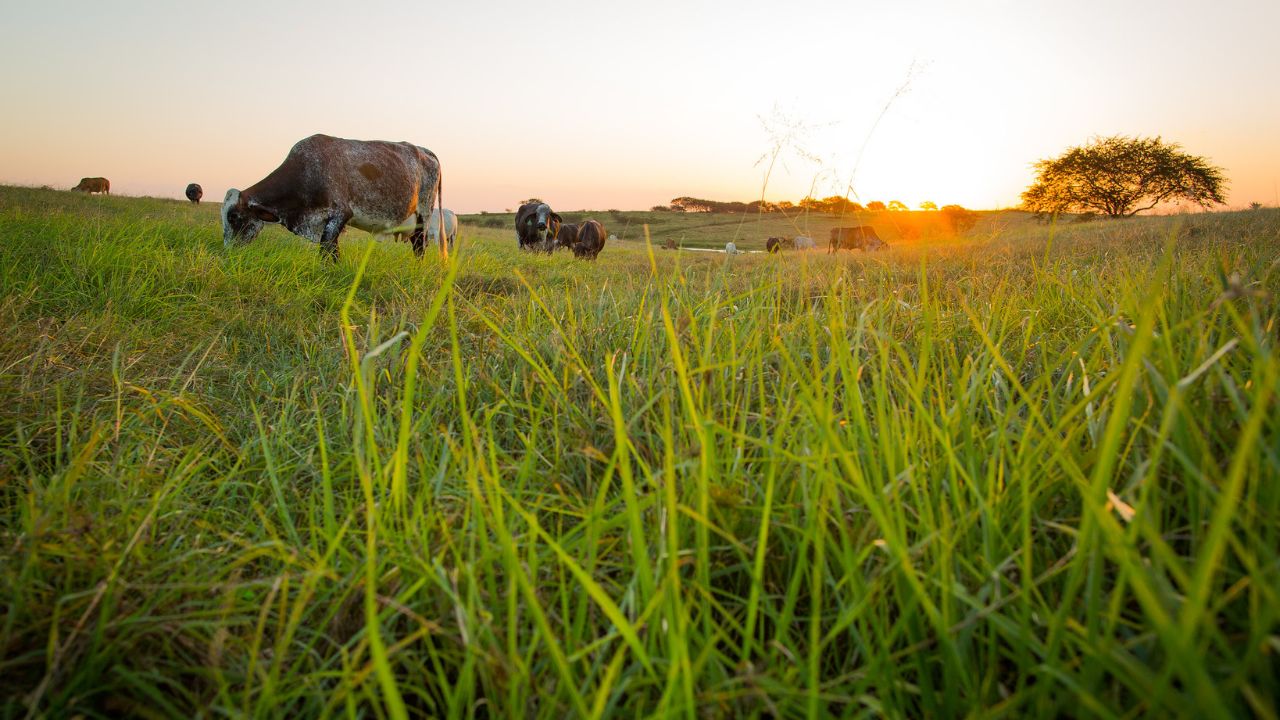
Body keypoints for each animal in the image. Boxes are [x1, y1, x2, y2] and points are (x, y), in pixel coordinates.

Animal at [217, 133, 442, 258]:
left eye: (233, 216)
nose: (228, 252)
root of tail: (424, 150)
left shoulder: (339, 215)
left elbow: (327, 252)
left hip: (424, 214)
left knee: (420, 246)